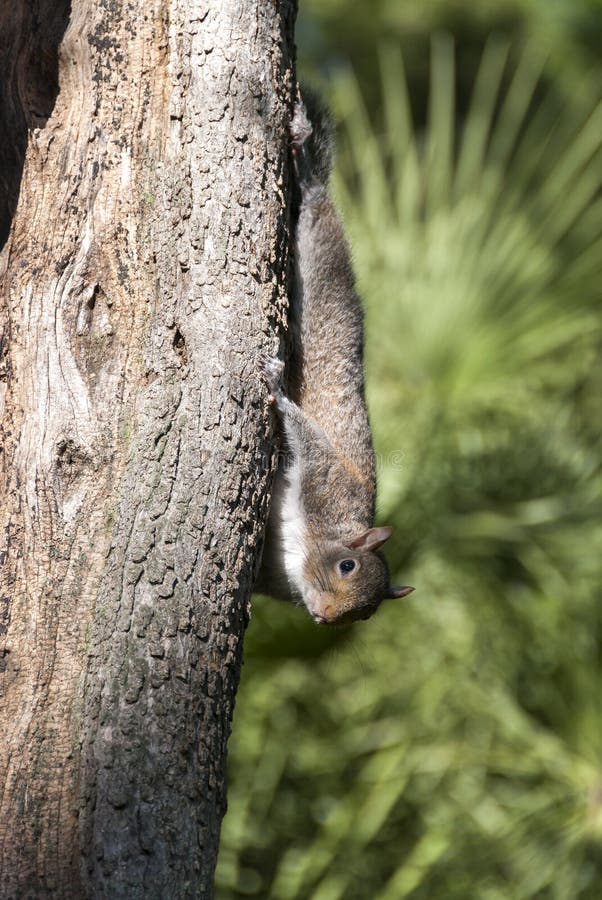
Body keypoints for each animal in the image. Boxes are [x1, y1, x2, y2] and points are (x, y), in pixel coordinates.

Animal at [256, 88, 414, 626]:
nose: (325, 616)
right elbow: (308, 438)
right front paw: (277, 389)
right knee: (312, 198)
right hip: (321, 256)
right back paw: (303, 151)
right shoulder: (326, 482)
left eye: (364, 615)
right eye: (347, 564)